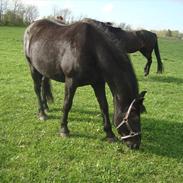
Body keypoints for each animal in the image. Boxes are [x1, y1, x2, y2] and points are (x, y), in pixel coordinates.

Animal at [23, 19, 147, 149]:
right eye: (133, 118)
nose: (135, 144)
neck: (92, 48)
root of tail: (32, 26)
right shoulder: (71, 82)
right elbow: (67, 104)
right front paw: (64, 129)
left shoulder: (98, 83)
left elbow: (104, 106)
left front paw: (109, 134)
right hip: (32, 67)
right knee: (37, 89)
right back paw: (42, 113)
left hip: (44, 70)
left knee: (43, 85)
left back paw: (46, 107)